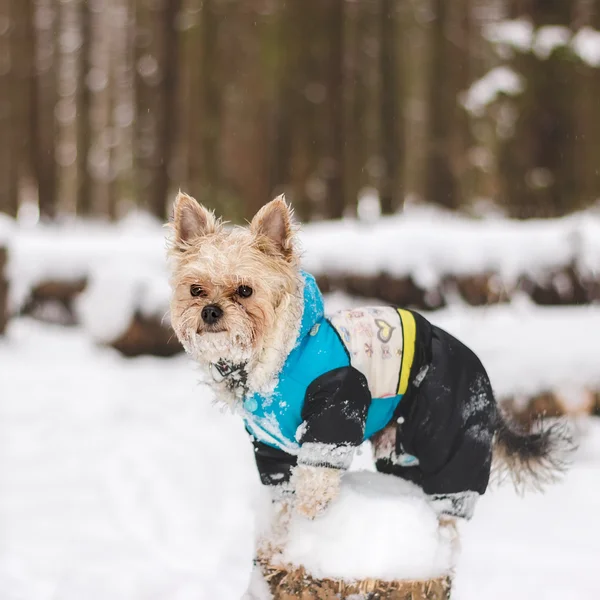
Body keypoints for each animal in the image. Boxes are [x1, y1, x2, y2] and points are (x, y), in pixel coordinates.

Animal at [168, 191, 572, 524]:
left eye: (245, 290)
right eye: (196, 289)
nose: (210, 311)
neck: (276, 354)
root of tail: (483, 377)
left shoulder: (335, 408)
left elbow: (317, 471)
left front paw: (310, 514)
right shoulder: (269, 443)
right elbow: (282, 483)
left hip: (452, 435)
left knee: (453, 498)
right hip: (401, 447)